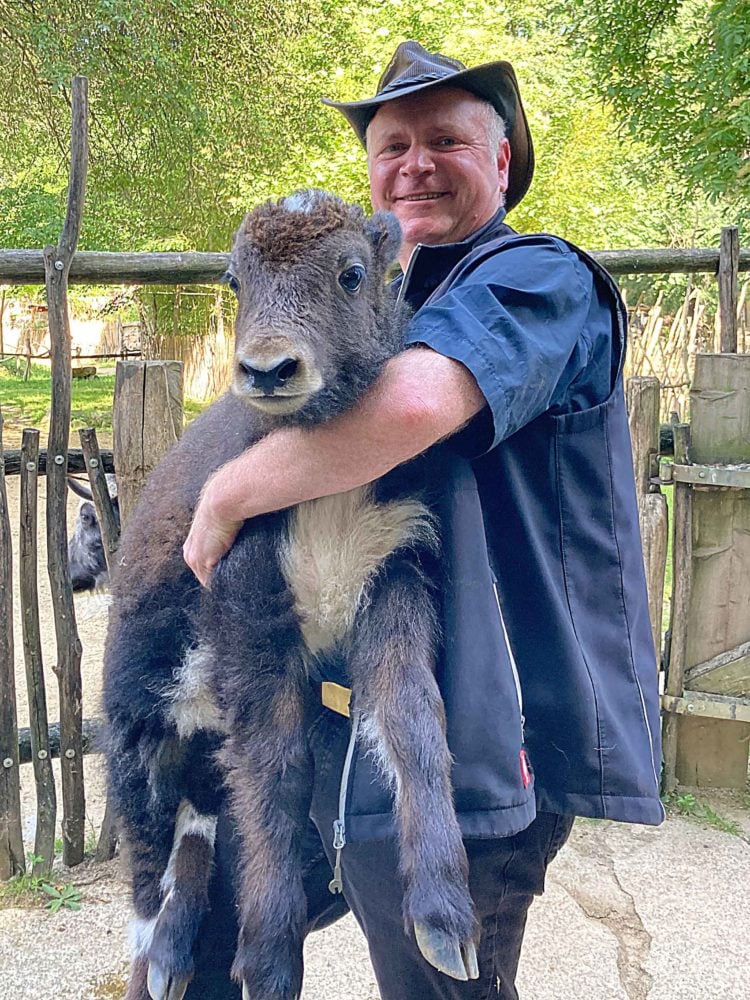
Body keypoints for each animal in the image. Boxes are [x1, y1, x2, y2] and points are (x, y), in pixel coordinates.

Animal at [103, 191, 478, 1000]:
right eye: (235, 280)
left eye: (352, 272)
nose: (268, 368)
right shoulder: (248, 609)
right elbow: (278, 771)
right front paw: (271, 961)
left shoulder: (396, 574)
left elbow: (412, 719)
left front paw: (446, 923)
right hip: (135, 729)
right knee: (148, 861)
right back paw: (159, 961)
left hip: (200, 746)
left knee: (202, 820)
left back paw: (177, 954)